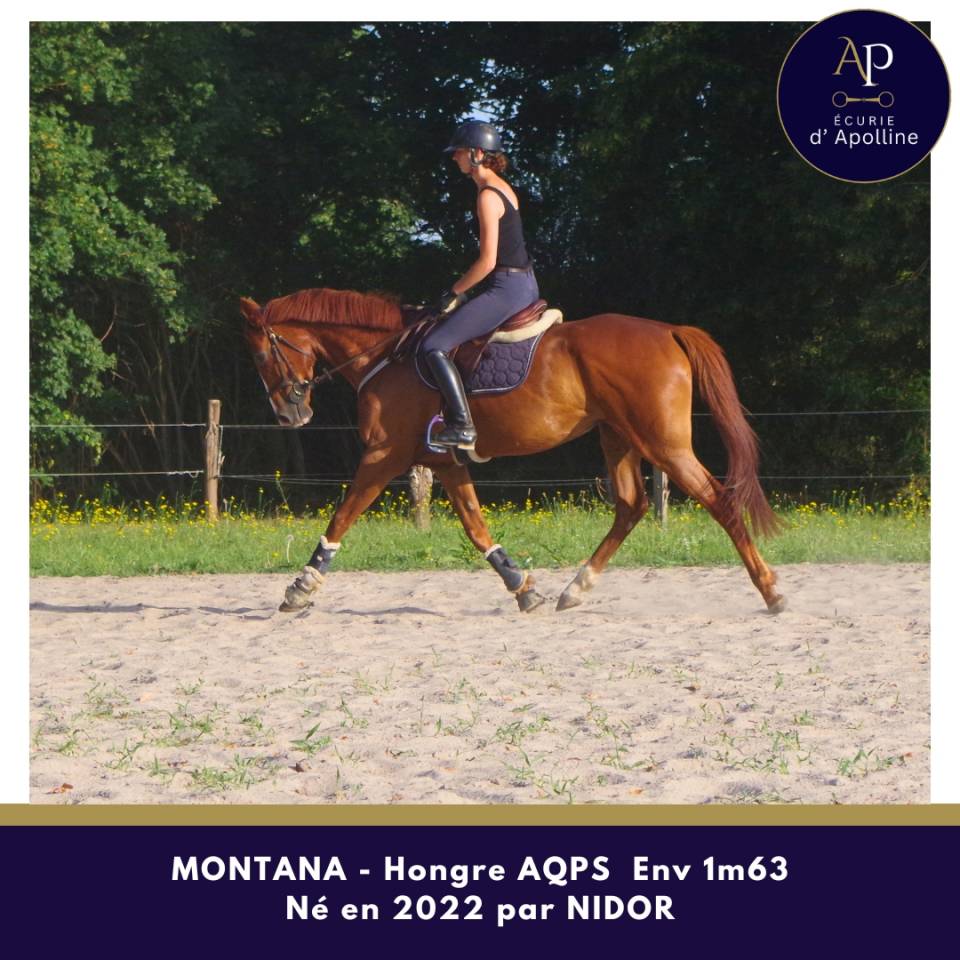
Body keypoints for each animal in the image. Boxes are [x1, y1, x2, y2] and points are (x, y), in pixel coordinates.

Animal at [239, 287, 785, 615]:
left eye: (262, 354)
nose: (289, 415)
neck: (386, 355)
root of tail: (668, 330)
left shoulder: (382, 455)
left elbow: (341, 517)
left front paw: (300, 588)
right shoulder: (443, 462)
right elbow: (477, 528)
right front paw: (521, 586)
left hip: (662, 443)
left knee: (719, 499)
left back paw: (770, 589)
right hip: (619, 437)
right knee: (632, 506)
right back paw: (575, 588)